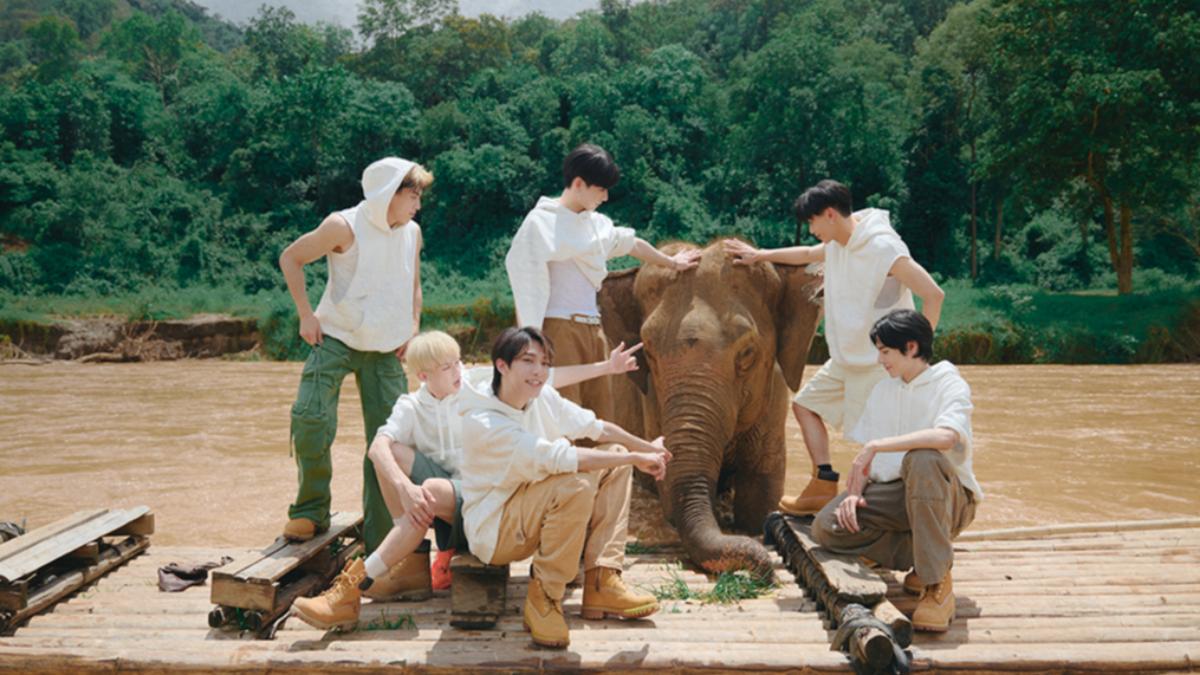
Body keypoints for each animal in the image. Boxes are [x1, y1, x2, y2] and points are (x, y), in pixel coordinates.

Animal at [599, 240, 822, 580]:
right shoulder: (651, 400)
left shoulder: (774, 398)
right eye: (647, 351)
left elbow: (761, 490)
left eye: (747, 353)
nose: (762, 571)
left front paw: (753, 524)